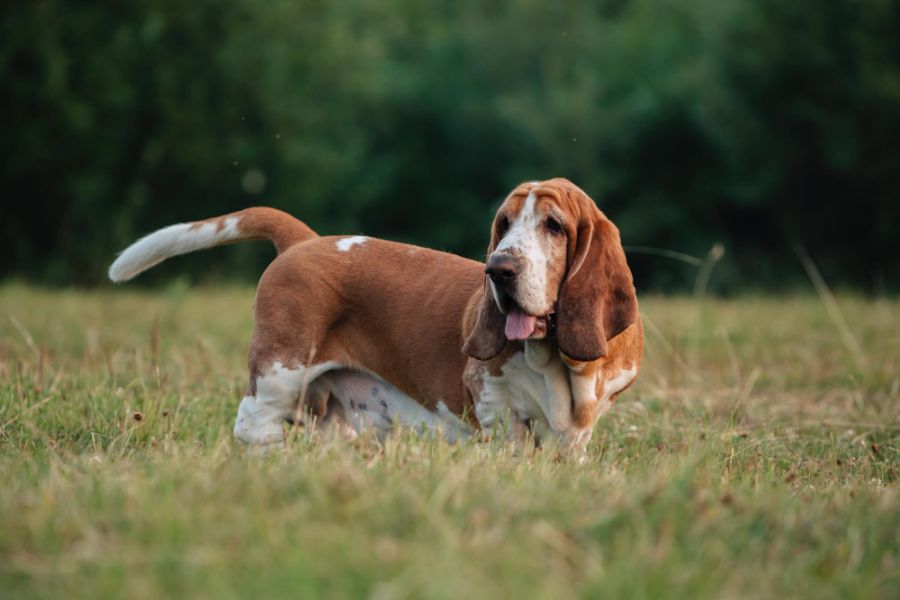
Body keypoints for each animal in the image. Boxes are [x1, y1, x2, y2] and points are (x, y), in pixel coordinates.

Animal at [109, 178, 644, 454]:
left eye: (554, 226)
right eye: (504, 224)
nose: (499, 268)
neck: (557, 360)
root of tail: (305, 240)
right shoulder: (490, 394)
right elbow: (508, 430)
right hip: (280, 370)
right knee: (252, 423)